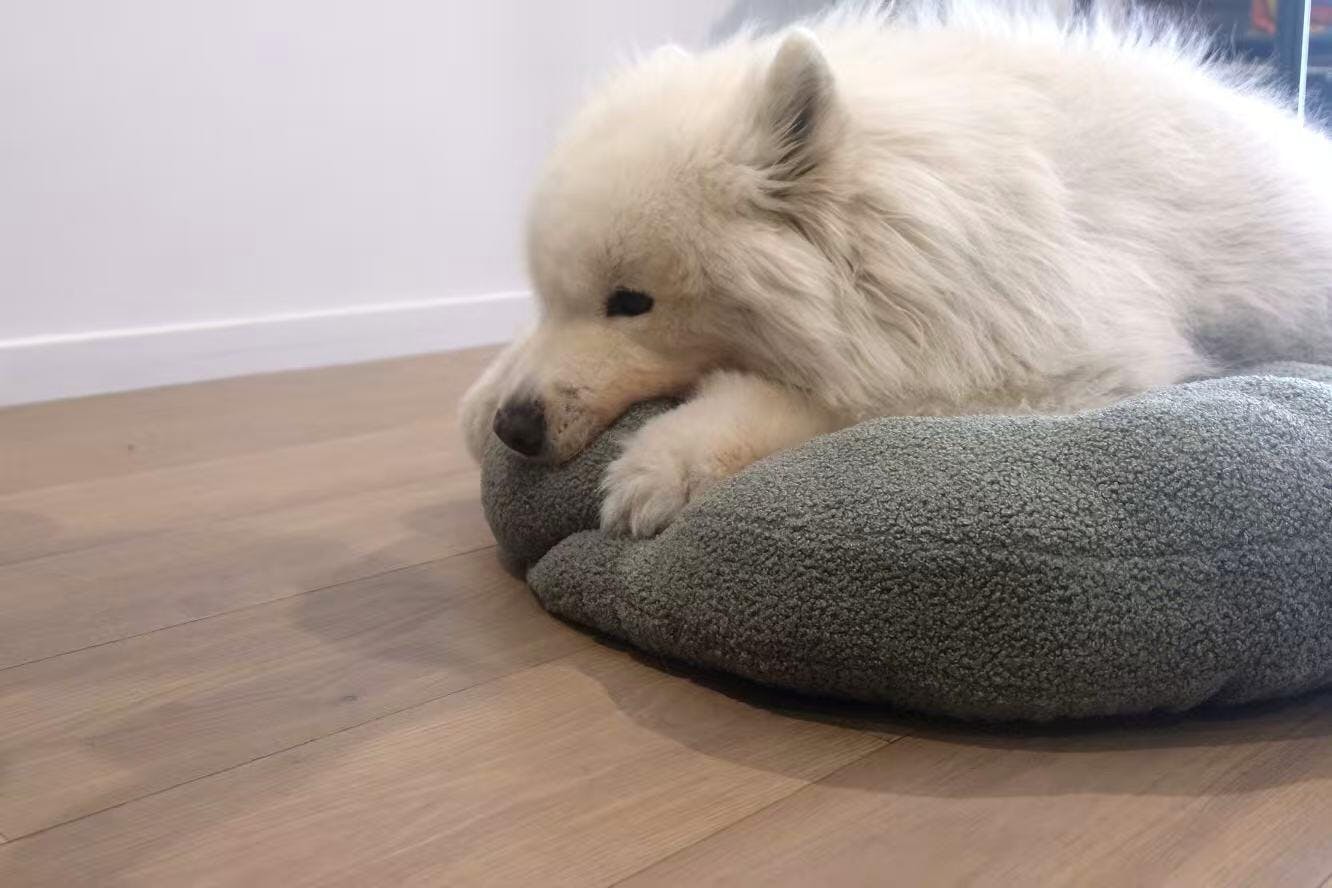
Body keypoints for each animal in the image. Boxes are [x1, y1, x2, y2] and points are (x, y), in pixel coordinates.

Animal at [461, 1, 1332, 538]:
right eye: (549, 297)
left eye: (631, 302)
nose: (516, 425)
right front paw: (480, 397)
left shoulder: (1035, 362)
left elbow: (838, 402)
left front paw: (666, 462)